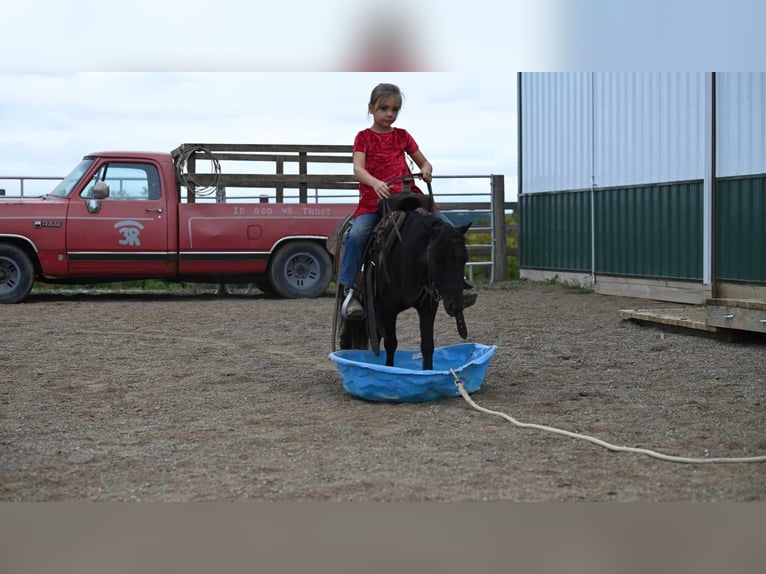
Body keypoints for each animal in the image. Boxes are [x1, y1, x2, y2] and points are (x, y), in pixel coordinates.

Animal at [332, 186, 472, 374]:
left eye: (465, 259)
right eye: (436, 260)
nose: (455, 305)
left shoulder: (428, 307)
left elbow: (427, 345)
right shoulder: (387, 308)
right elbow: (391, 344)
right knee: (346, 337)